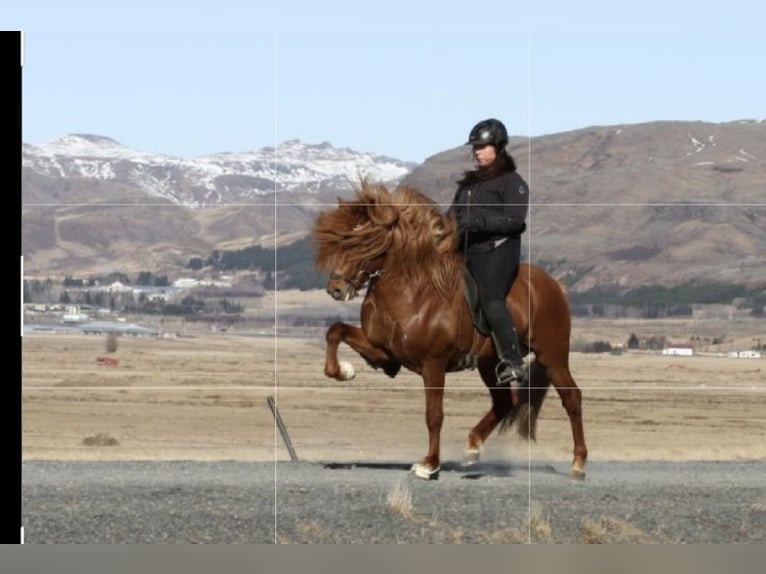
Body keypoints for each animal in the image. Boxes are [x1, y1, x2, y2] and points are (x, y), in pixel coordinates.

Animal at [312, 179, 587, 480]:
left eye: (364, 242)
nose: (336, 289)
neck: (411, 291)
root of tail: (554, 285)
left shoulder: (433, 364)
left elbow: (434, 415)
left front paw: (429, 465)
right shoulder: (383, 351)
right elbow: (335, 331)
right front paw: (343, 371)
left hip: (552, 355)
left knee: (571, 398)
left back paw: (578, 463)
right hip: (490, 363)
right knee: (504, 401)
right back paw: (472, 448)